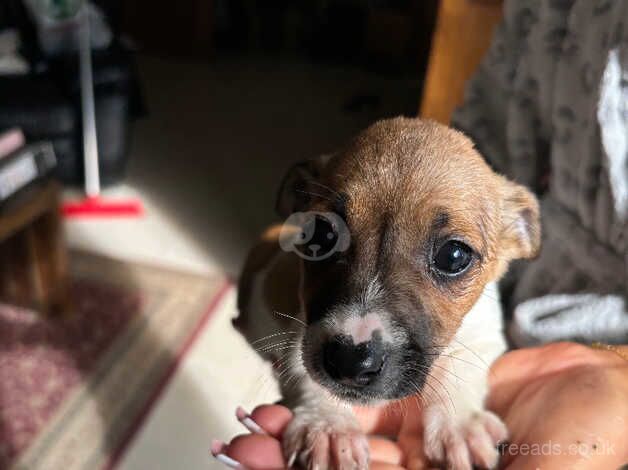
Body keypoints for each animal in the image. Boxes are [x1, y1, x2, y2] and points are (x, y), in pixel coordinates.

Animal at [234, 118, 540, 470]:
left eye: (454, 256)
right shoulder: (301, 334)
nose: (351, 361)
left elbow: (459, 369)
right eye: (321, 235)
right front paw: (328, 427)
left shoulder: (483, 333)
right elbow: (305, 375)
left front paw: (460, 425)